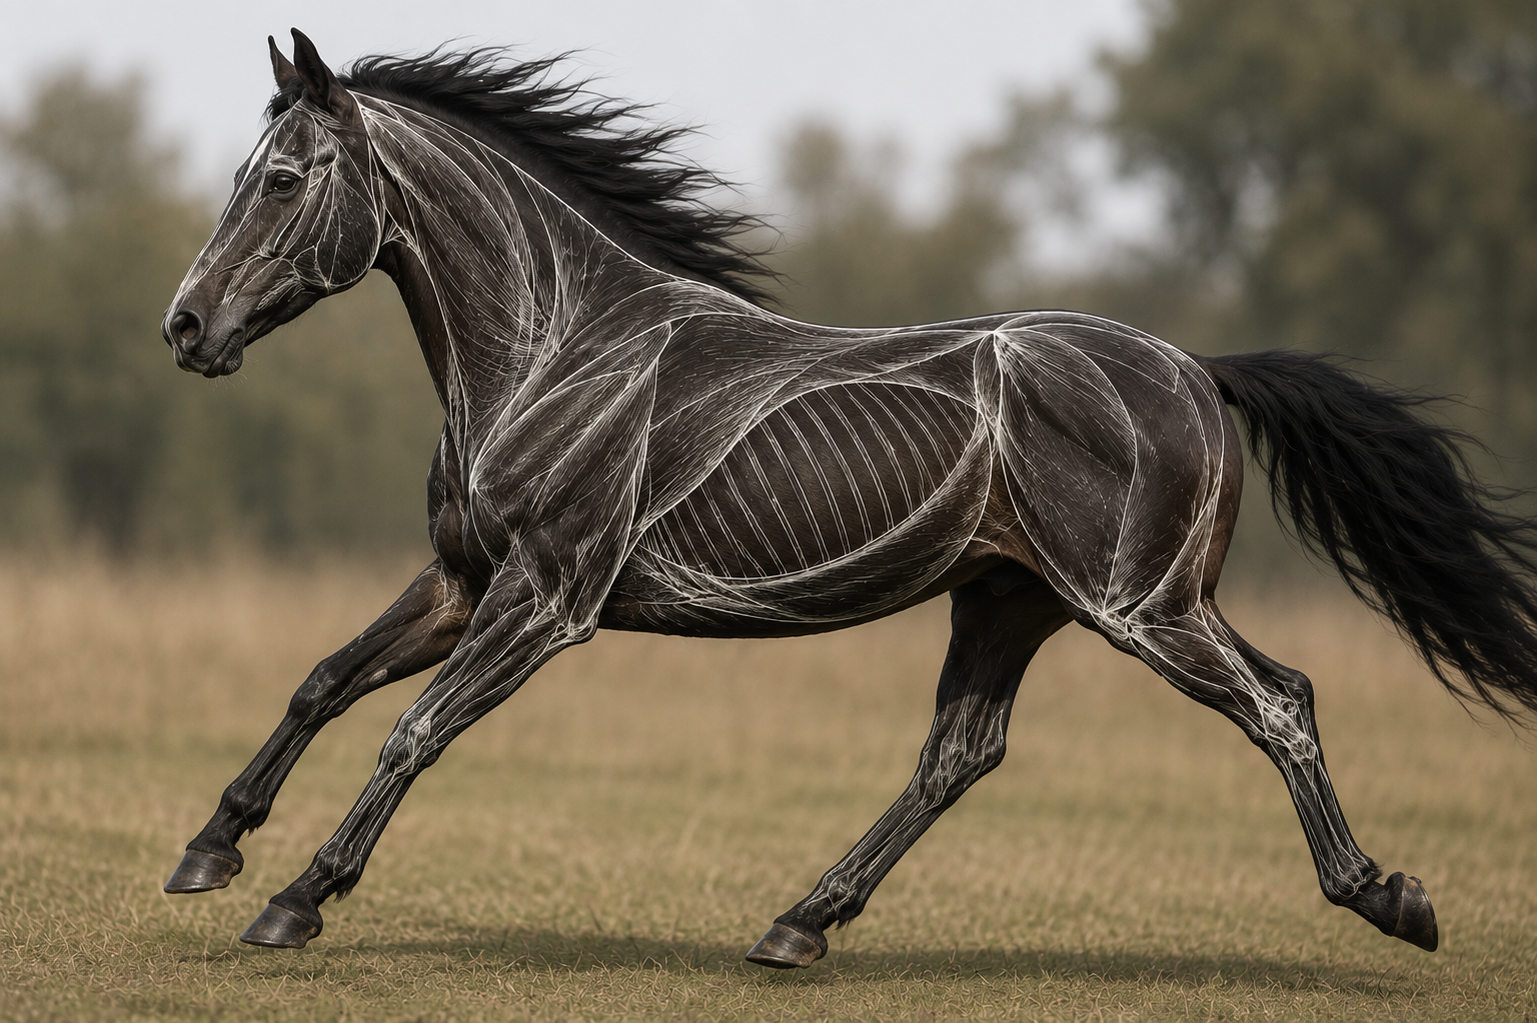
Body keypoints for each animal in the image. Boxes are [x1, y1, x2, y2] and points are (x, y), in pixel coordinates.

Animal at [160, 30, 1537, 968]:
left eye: (281, 178)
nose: (186, 328)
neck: (555, 351)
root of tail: (1197, 368)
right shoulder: (459, 579)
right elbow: (325, 681)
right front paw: (209, 852)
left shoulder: (547, 598)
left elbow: (412, 729)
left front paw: (295, 900)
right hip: (1010, 602)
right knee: (959, 756)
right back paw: (797, 924)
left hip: (1141, 606)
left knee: (1278, 701)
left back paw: (1391, 899)